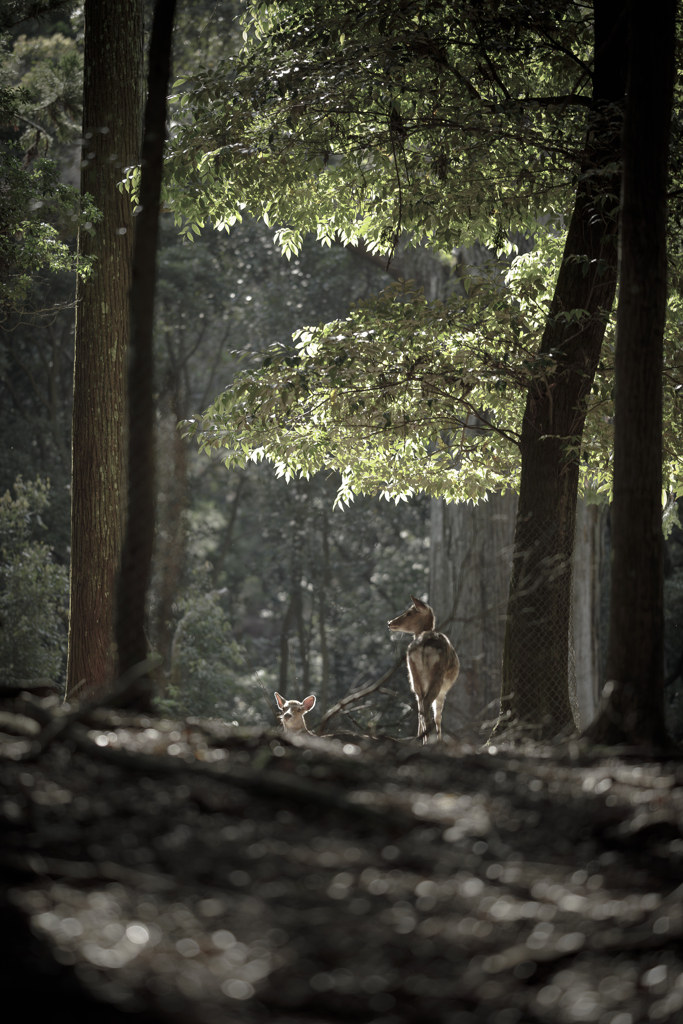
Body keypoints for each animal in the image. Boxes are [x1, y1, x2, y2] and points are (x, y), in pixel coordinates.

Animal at [389, 593, 458, 745]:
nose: (390, 622)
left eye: (409, 613)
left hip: (414, 675)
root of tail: (424, 645)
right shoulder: (444, 690)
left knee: (420, 705)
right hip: (437, 677)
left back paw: (422, 738)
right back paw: (429, 739)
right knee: (427, 706)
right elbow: (438, 715)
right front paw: (439, 740)